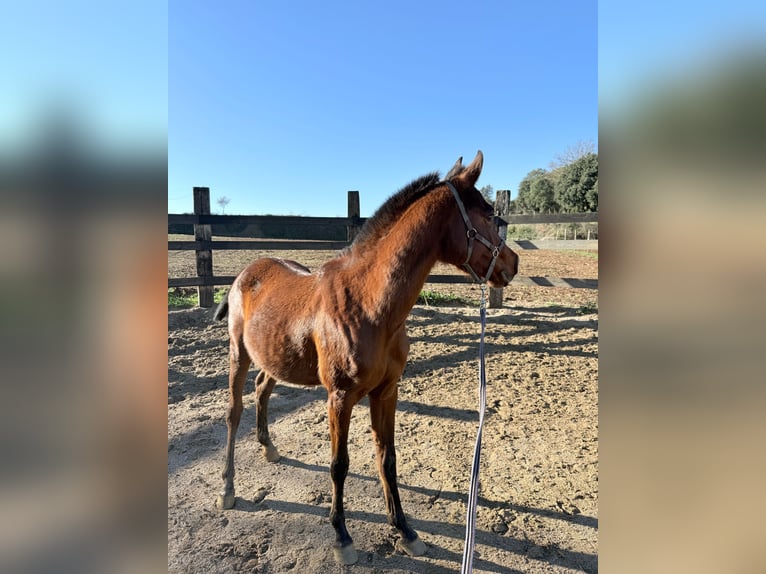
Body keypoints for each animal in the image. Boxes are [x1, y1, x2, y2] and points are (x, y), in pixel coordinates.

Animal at [212, 151, 519, 565]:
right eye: (487, 213)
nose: (513, 264)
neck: (369, 304)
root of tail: (245, 273)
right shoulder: (339, 398)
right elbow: (339, 465)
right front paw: (342, 537)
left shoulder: (386, 391)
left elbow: (387, 459)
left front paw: (405, 530)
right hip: (238, 353)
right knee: (234, 412)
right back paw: (227, 489)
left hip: (274, 358)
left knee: (262, 389)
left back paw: (269, 448)